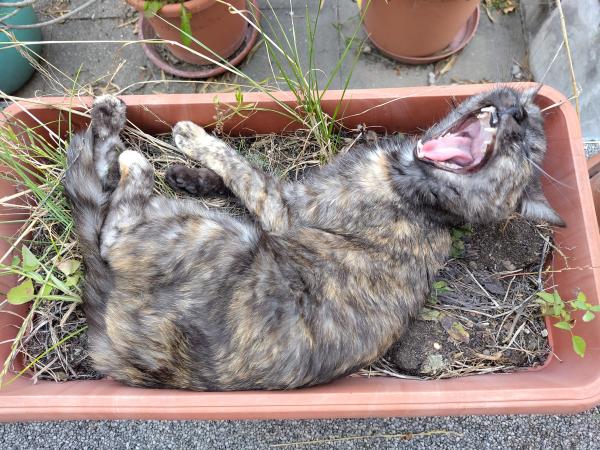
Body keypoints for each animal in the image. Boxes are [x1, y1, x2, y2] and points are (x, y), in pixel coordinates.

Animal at [63, 88, 564, 390]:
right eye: (524, 118)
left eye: (527, 147)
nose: (517, 111)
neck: (422, 195)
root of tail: (112, 348)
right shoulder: (290, 191)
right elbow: (240, 175)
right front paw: (189, 175)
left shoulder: (285, 208)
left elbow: (242, 169)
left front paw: (193, 139)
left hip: (213, 233)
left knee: (107, 225)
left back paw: (128, 150)